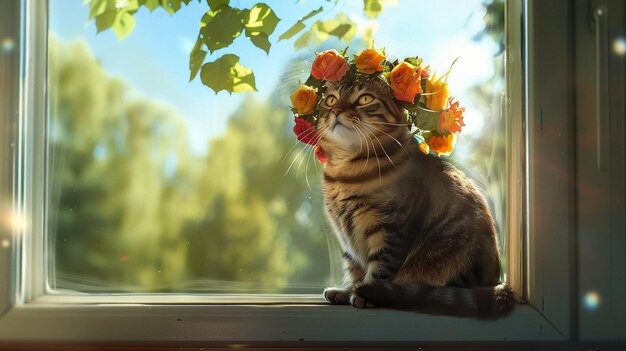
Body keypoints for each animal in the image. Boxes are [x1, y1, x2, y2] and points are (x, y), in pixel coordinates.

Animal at [314, 75, 516, 320]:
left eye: (364, 99)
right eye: (331, 100)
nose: (336, 110)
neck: (345, 175)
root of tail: (496, 283)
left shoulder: (390, 229)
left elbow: (379, 268)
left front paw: (365, 293)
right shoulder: (345, 234)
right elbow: (354, 267)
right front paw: (348, 291)